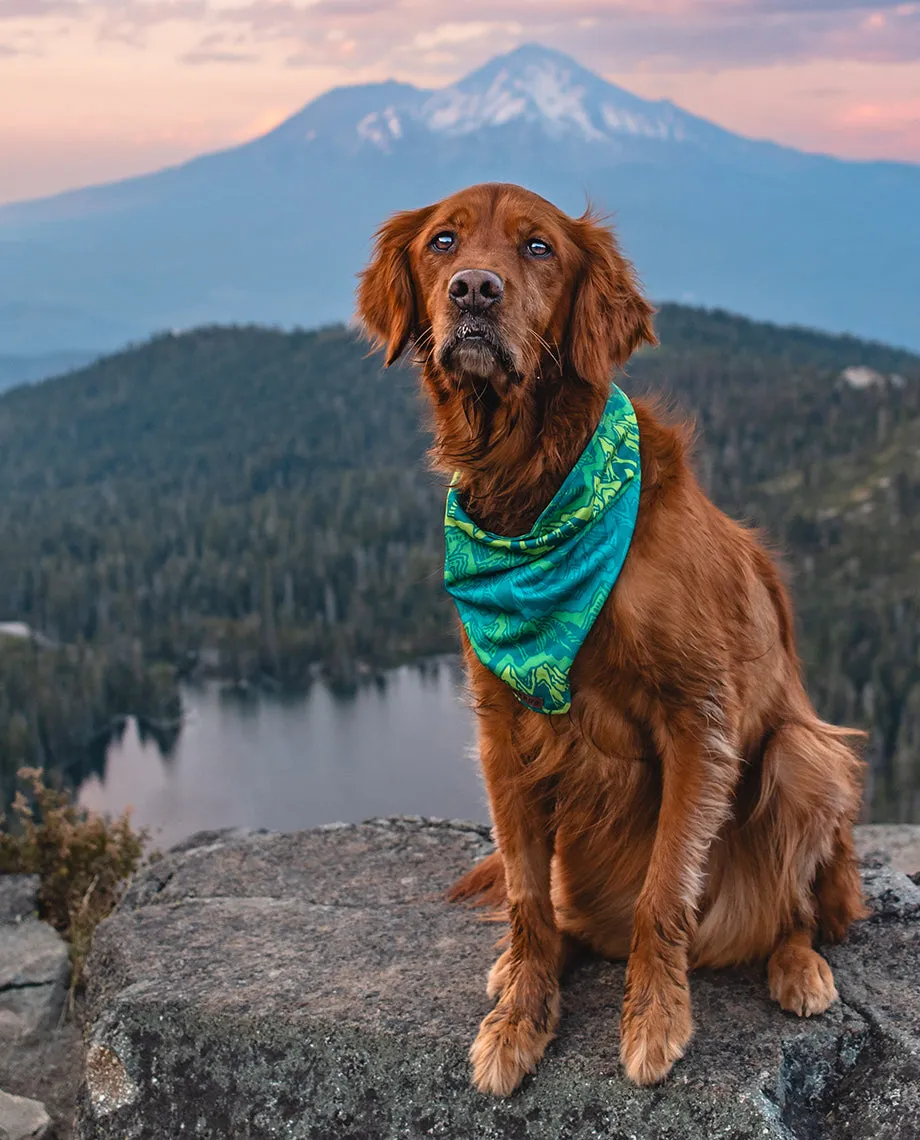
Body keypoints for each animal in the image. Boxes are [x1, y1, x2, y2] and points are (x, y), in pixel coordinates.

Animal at [355, 180, 866, 1094]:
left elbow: (664, 893)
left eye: (539, 248)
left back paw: (798, 965)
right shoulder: (503, 731)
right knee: (559, 912)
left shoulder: (698, 720)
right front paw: (520, 1019)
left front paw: (655, 1019)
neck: (534, 488)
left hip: (808, 757)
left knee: (801, 907)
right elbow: (525, 898)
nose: (475, 291)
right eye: (444, 241)